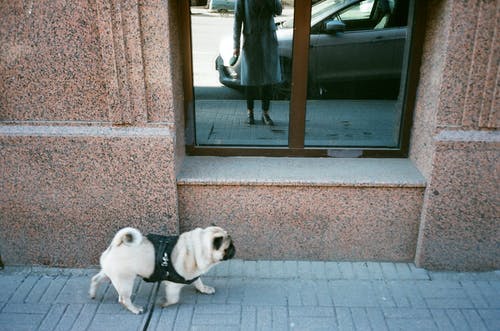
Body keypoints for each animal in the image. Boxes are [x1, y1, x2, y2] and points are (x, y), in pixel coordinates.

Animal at [89, 227, 235, 316]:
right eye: (228, 248)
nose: (235, 248)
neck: (196, 249)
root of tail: (116, 244)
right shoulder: (173, 285)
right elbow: (174, 299)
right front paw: (163, 302)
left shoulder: (193, 274)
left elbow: (198, 282)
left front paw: (204, 289)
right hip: (125, 280)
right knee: (124, 299)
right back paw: (136, 309)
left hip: (110, 274)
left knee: (95, 279)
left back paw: (92, 294)